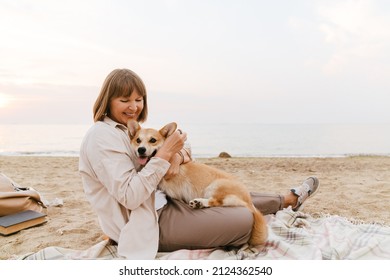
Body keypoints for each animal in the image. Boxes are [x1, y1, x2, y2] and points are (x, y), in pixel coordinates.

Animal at [126, 119, 266, 246]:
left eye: (153, 140)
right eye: (138, 140)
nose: (141, 150)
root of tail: (250, 202)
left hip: (215, 186)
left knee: (216, 201)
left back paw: (199, 202)